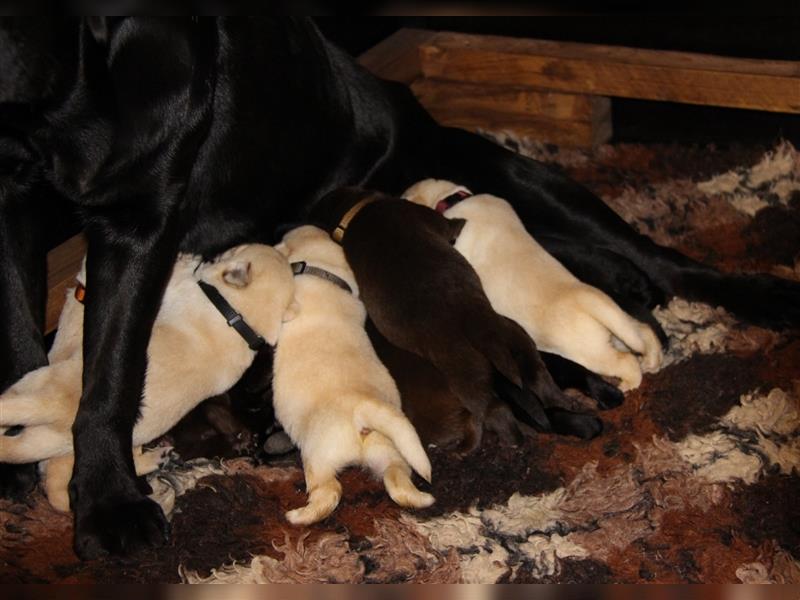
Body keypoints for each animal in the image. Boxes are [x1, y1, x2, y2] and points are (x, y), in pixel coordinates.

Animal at [0, 244, 296, 510]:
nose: (204, 256)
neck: (239, 319)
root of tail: (55, 411)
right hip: (54, 441)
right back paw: (158, 459)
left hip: (38, 391)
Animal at [272, 225, 434, 524]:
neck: (324, 271)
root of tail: (364, 407)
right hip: (390, 452)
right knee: (397, 479)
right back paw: (421, 499)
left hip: (317, 456)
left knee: (329, 493)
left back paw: (298, 516)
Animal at [310, 188, 604, 446]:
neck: (358, 211)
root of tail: (484, 334)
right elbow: (450, 224)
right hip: (495, 355)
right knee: (523, 390)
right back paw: (529, 430)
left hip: (492, 357)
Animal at [406, 178, 664, 392]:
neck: (451, 198)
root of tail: (589, 300)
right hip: (620, 326)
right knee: (642, 331)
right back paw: (652, 360)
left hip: (592, 351)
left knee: (625, 362)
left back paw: (629, 383)